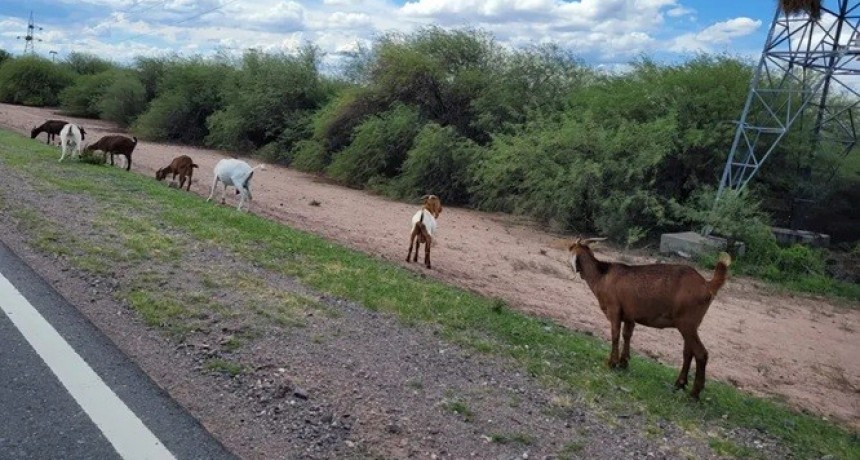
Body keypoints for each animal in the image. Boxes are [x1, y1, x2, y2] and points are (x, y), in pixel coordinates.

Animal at [568, 239, 728, 400]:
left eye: (571, 248)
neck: (602, 276)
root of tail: (707, 285)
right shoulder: (629, 315)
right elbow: (627, 335)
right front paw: (623, 363)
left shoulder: (614, 310)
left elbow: (615, 335)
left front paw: (612, 363)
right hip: (692, 325)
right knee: (689, 352)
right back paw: (680, 384)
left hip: (686, 323)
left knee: (701, 354)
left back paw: (694, 393)